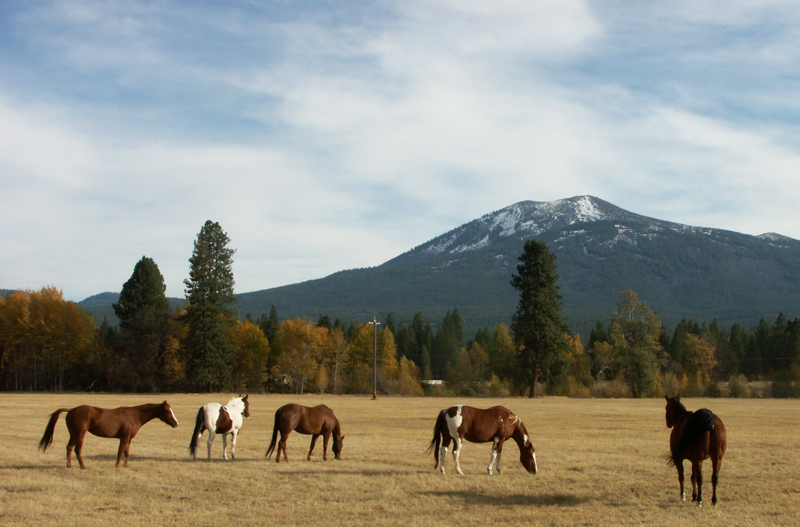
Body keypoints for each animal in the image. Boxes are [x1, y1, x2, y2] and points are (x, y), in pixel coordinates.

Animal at [38, 401, 179, 469]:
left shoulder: (129, 438)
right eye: (167, 411)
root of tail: (71, 410)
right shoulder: (124, 437)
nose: (176, 423)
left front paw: (126, 465)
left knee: (69, 448)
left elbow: (127, 452)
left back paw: (69, 465)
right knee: (78, 450)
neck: (133, 415)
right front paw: (117, 466)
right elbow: (120, 451)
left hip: (73, 434)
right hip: (80, 434)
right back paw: (83, 466)